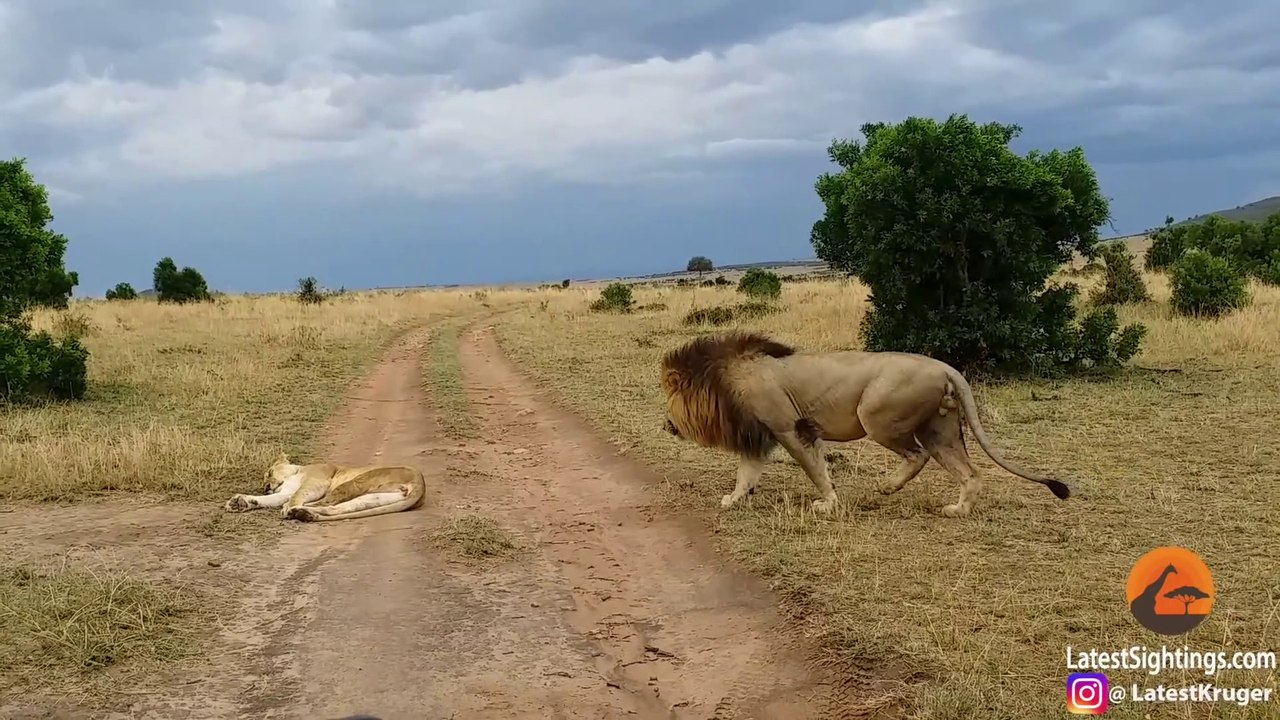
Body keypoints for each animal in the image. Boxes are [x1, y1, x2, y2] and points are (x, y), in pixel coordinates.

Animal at [223, 452, 426, 522]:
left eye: (270, 472)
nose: (266, 487)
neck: (297, 471)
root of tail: (421, 485)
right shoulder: (285, 490)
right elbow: (274, 498)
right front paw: (241, 502)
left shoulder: (317, 481)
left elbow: (296, 495)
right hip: (373, 498)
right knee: (335, 508)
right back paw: (304, 513)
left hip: (358, 481)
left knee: (326, 502)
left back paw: (296, 511)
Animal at [660, 331, 1073, 517]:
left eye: (670, 402)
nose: (666, 425)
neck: (724, 379)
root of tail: (944, 366)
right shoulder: (760, 436)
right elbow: (746, 474)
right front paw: (733, 499)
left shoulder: (789, 428)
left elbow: (815, 469)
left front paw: (827, 503)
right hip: (939, 430)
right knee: (970, 473)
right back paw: (958, 510)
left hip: (876, 416)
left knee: (916, 455)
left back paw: (887, 486)